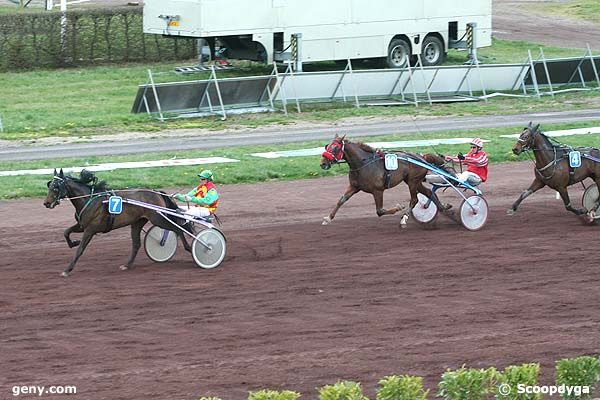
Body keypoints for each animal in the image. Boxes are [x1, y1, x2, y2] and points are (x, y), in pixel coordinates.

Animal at [44, 168, 192, 276]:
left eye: (56, 187)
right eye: (49, 185)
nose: (46, 203)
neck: (88, 200)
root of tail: (156, 191)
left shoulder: (90, 229)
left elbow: (80, 250)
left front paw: (67, 270)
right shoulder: (82, 225)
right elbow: (66, 232)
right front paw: (73, 242)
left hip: (158, 218)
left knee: (177, 229)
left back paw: (190, 248)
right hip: (138, 222)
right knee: (136, 244)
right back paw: (127, 265)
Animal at [318, 133, 450, 223]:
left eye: (335, 148)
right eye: (327, 146)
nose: (323, 164)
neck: (363, 164)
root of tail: (422, 157)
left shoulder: (377, 190)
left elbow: (380, 211)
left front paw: (399, 207)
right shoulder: (354, 187)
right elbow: (341, 200)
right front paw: (328, 218)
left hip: (413, 182)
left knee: (414, 199)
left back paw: (405, 218)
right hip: (413, 181)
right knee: (429, 192)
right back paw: (444, 208)